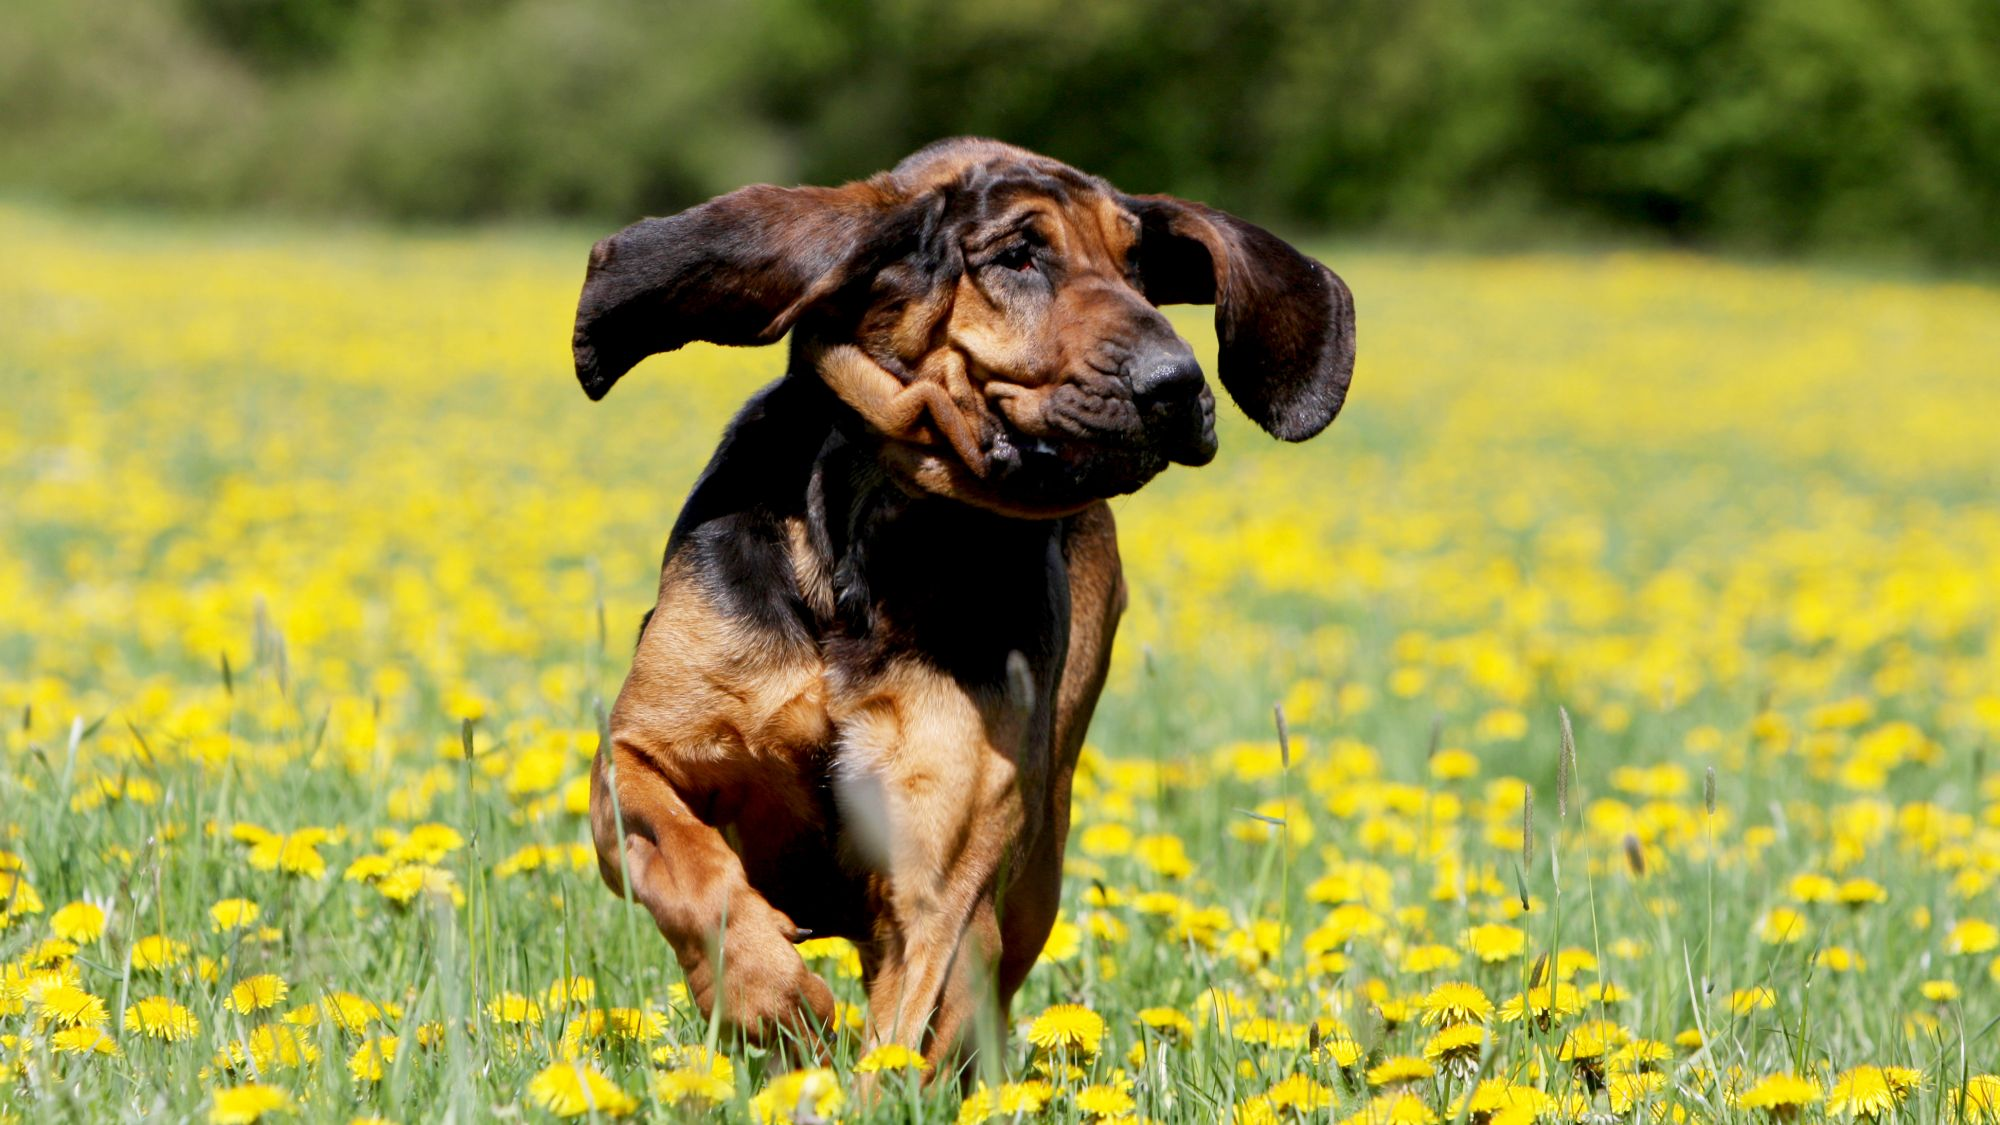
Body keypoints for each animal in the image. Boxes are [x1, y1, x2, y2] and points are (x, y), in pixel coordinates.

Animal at [576, 136, 1360, 1064]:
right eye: (1018, 255)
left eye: (1137, 266)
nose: (1178, 384)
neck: (870, 545)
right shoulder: (636, 757)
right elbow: (694, 872)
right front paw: (773, 1000)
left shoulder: (941, 876)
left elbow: (907, 1026)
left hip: (1036, 860)